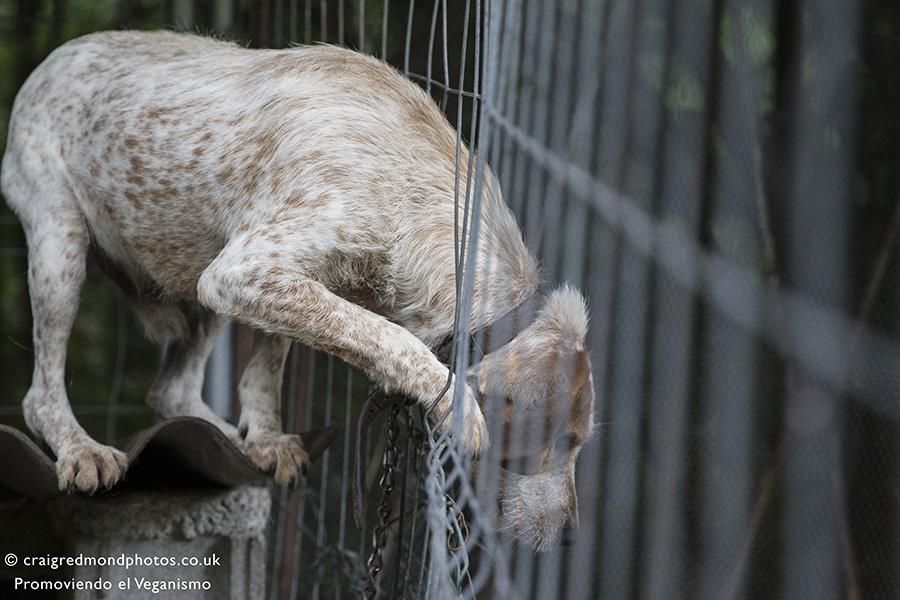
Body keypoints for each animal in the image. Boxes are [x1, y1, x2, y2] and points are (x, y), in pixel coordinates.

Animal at [3, 31, 596, 548]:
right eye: (563, 440)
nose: (572, 535)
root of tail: (54, 58)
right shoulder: (244, 271)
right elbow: (385, 336)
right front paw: (455, 404)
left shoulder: (275, 281)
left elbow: (272, 363)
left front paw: (265, 437)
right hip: (61, 245)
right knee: (40, 393)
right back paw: (80, 448)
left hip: (197, 258)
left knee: (171, 390)